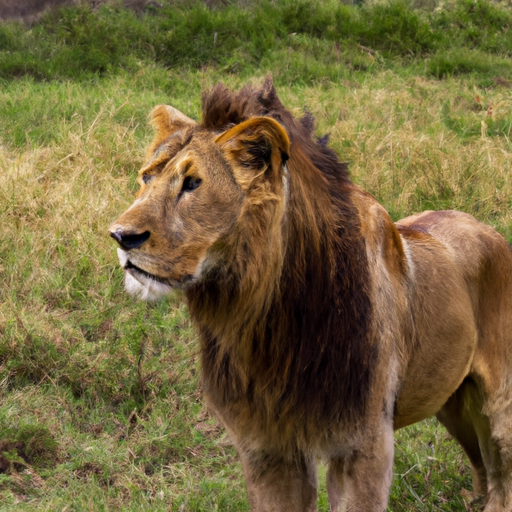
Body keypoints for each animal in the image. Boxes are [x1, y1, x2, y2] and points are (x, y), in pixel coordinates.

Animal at [110, 78, 512, 510]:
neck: (266, 322)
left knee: (502, 468)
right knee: (481, 461)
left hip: (499, 402)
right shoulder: (266, 447)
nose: (120, 235)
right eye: (147, 178)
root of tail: (486, 229)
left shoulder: (363, 444)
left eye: (192, 183)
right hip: (450, 400)